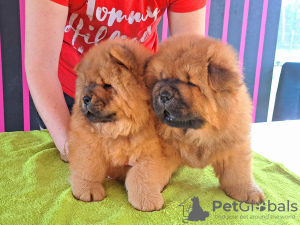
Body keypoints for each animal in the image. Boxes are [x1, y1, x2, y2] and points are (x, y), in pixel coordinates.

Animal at [68, 38, 175, 211]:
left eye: (107, 85)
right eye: (86, 85)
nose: (85, 98)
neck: (117, 130)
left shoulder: (151, 152)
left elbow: (142, 176)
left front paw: (147, 200)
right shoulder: (88, 145)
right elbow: (89, 168)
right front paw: (88, 190)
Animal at [145, 35, 264, 204]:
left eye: (190, 82)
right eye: (161, 79)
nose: (163, 95)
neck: (197, 134)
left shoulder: (234, 145)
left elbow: (239, 171)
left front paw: (248, 191)